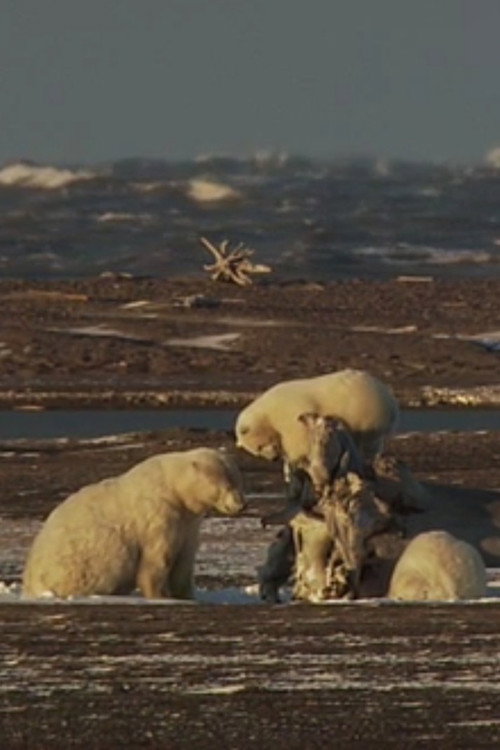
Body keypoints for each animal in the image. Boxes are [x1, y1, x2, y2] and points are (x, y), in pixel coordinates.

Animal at [22, 447, 246, 600]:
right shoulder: (159, 512)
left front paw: (187, 596)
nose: (241, 505)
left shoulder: (188, 522)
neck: (173, 488)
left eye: (238, 481)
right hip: (71, 567)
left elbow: (185, 559)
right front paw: (160, 596)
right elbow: (159, 558)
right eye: (227, 485)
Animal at [235, 368, 399, 466]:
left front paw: (296, 457)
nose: (273, 458)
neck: (267, 410)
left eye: (259, 446)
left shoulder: (290, 410)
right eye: (257, 451)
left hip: (366, 411)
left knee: (369, 441)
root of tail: (391, 401)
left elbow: (298, 436)